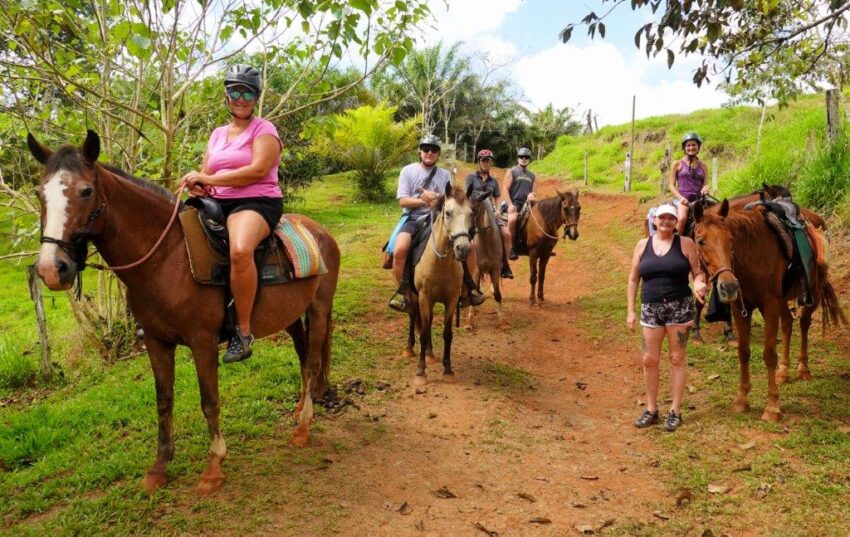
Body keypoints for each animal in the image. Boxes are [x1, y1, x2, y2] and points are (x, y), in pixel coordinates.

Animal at [29, 130, 342, 494]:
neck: (166, 257)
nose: (52, 269)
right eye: (39, 193)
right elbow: (164, 401)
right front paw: (159, 467)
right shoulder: (156, 341)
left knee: (315, 362)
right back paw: (300, 409)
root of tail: (320, 233)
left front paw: (213, 467)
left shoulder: (202, 342)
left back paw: (303, 428)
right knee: (304, 359)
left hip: (318, 308)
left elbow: (209, 401)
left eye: (85, 191)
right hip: (292, 317)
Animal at [402, 182, 480, 384]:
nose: (463, 249)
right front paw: (421, 372)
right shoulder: (424, 297)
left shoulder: (451, 300)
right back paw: (409, 348)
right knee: (413, 315)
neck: (440, 263)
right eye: (448, 213)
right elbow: (423, 333)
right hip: (413, 296)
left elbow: (447, 333)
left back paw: (430, 354)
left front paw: (448, 369)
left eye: (471, 213)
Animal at [692, 199, 844, 420]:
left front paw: (772, 407)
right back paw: (784, 372)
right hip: (782, 300)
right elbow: (743, 352)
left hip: (813, 293)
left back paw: (803, 369)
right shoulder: (741, 308)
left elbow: (769, 355)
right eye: (700, 240)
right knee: (788, 323)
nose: (729, 286)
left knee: (804, 324)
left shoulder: (770, 305)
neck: (752, 256)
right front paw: (742, 400)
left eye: (730, 239)